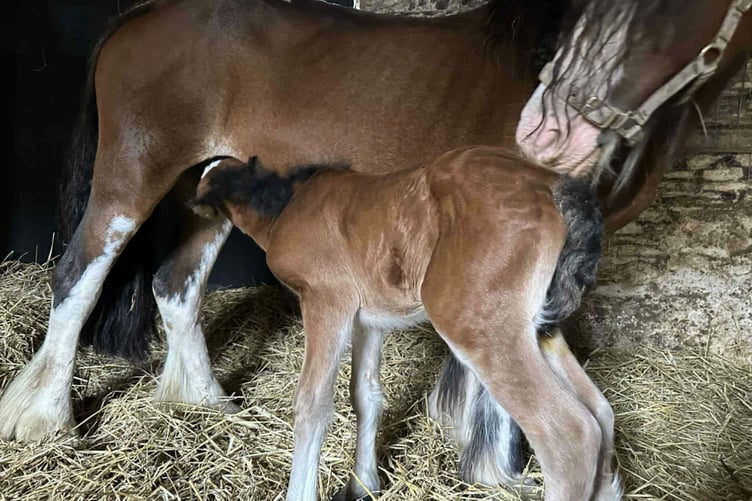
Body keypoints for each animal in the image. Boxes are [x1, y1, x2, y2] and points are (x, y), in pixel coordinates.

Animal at [188, 149, 615, 501]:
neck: (285, 209)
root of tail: (555, 189)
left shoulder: (327, 300)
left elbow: (312, 404)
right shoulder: (368, 321)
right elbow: (365, 395)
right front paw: (362, 486)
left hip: (479, 328)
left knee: (569, 434)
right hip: (541, 329)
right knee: (600, 412)